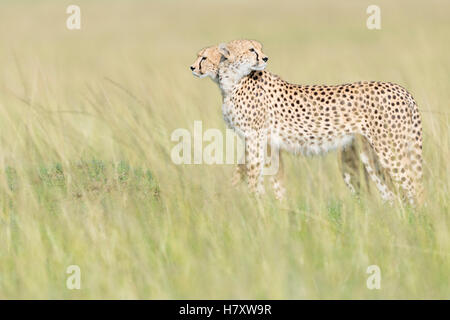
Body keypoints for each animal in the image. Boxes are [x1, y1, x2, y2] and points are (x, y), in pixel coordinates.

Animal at [191, 43, 386, 200]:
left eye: (204, 57)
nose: (192, 67)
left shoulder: (256, 138)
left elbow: (251, 172)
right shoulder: (268, 144)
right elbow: (274, 179)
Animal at [216, 40, 424, 205]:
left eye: (259, 49)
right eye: (251, 49)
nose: (265, 58)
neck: (233, 81)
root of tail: (402, 90)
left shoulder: (255, 138)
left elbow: (252, 174)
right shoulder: (264, 143)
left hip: (390, 150)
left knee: (414, 188)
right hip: (369, 153)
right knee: (393, 193)